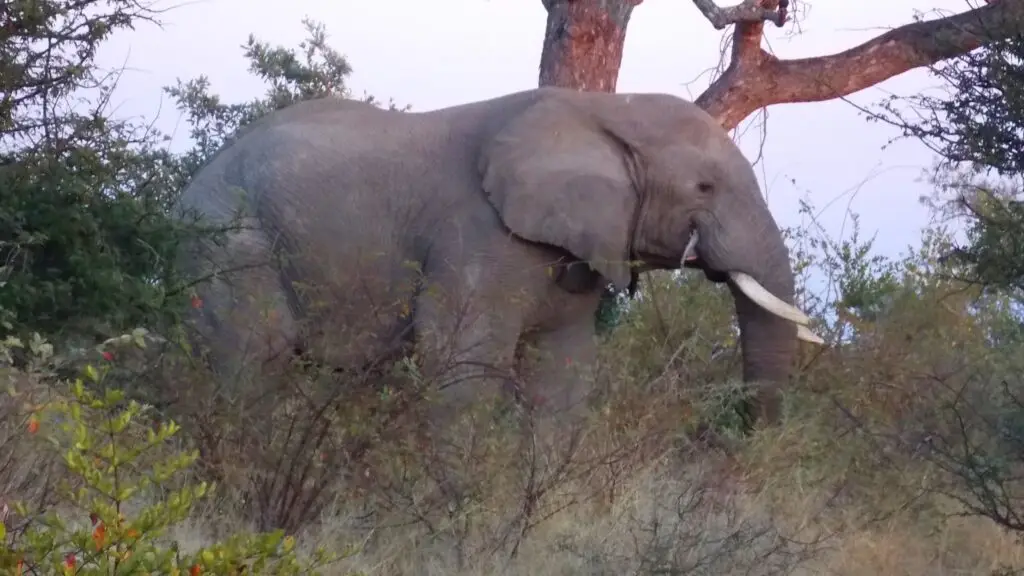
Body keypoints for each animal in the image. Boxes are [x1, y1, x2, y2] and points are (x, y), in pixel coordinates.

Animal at [174, 86, 823, 438]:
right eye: (705, 187)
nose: (737, 441)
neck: (602, 111)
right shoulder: (477, 233)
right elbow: (464, 360)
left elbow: (563, 373)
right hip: (227, 241)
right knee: (254, 359)